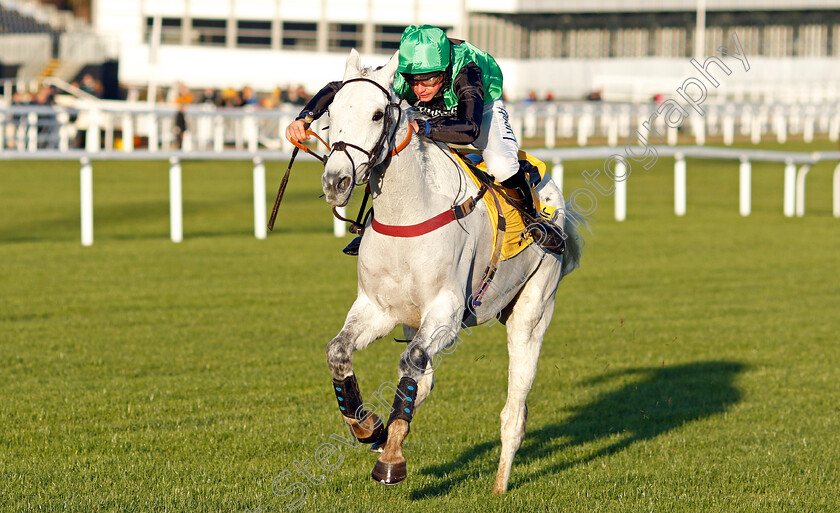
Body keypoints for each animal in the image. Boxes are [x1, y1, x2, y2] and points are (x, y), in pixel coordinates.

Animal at [318, 50, 580, 494]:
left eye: (376, 114)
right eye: (332, 112)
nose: (336, 181)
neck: (406, 214)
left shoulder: (447, 312)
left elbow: (412, 361)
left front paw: (390, 459)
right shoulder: (378, 308)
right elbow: (341, 352)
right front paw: (368, 427)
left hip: (532, 312)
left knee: (515, 411)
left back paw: (500, 485)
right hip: (413, 320)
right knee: (424, 382)